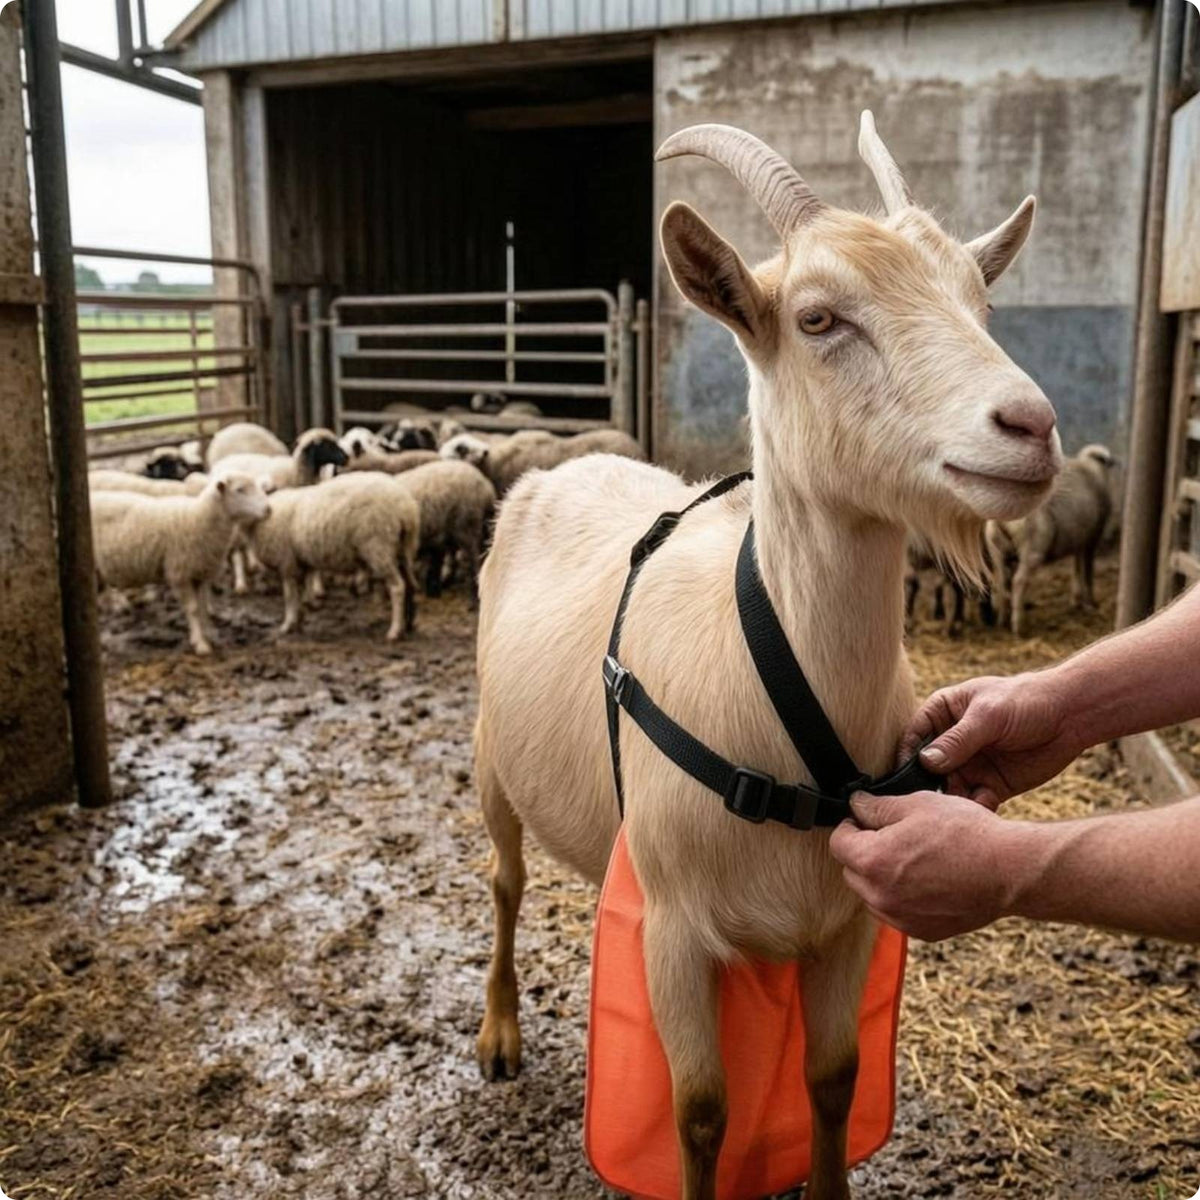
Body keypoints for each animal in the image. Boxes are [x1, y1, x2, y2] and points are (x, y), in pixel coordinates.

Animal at [472, 113, 1059, 1200]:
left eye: (982, 300)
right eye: (821, 319)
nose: (1030, 427)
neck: (774, 686)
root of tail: (568, 460)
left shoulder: (844, 923)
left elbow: (832, 1079)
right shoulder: (670, 931)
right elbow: (700, 1113)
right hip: (491, 752)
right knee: (504, 879)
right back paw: (498, 1036)